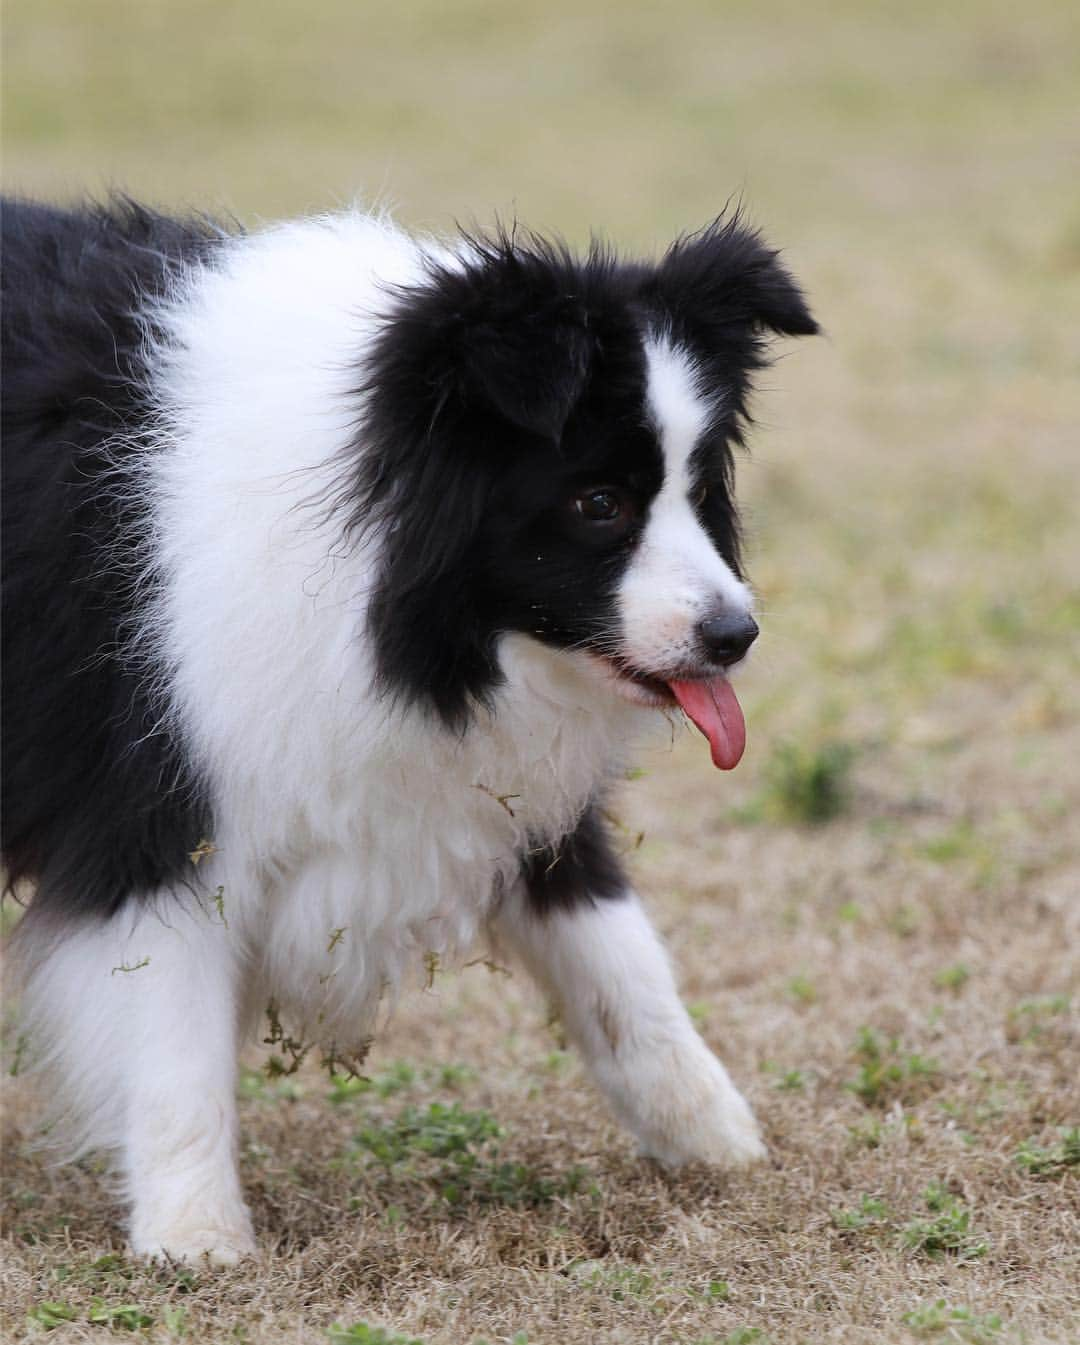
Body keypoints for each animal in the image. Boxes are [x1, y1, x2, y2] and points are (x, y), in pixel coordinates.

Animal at [0, 195, 812, 1253]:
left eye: (702, 487)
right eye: (598, 502)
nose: (733, 636)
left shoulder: (488, 778)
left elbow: (616, 954)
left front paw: (716, 1136)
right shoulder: (154, 792)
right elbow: (170, 1033)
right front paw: (196, 1237)